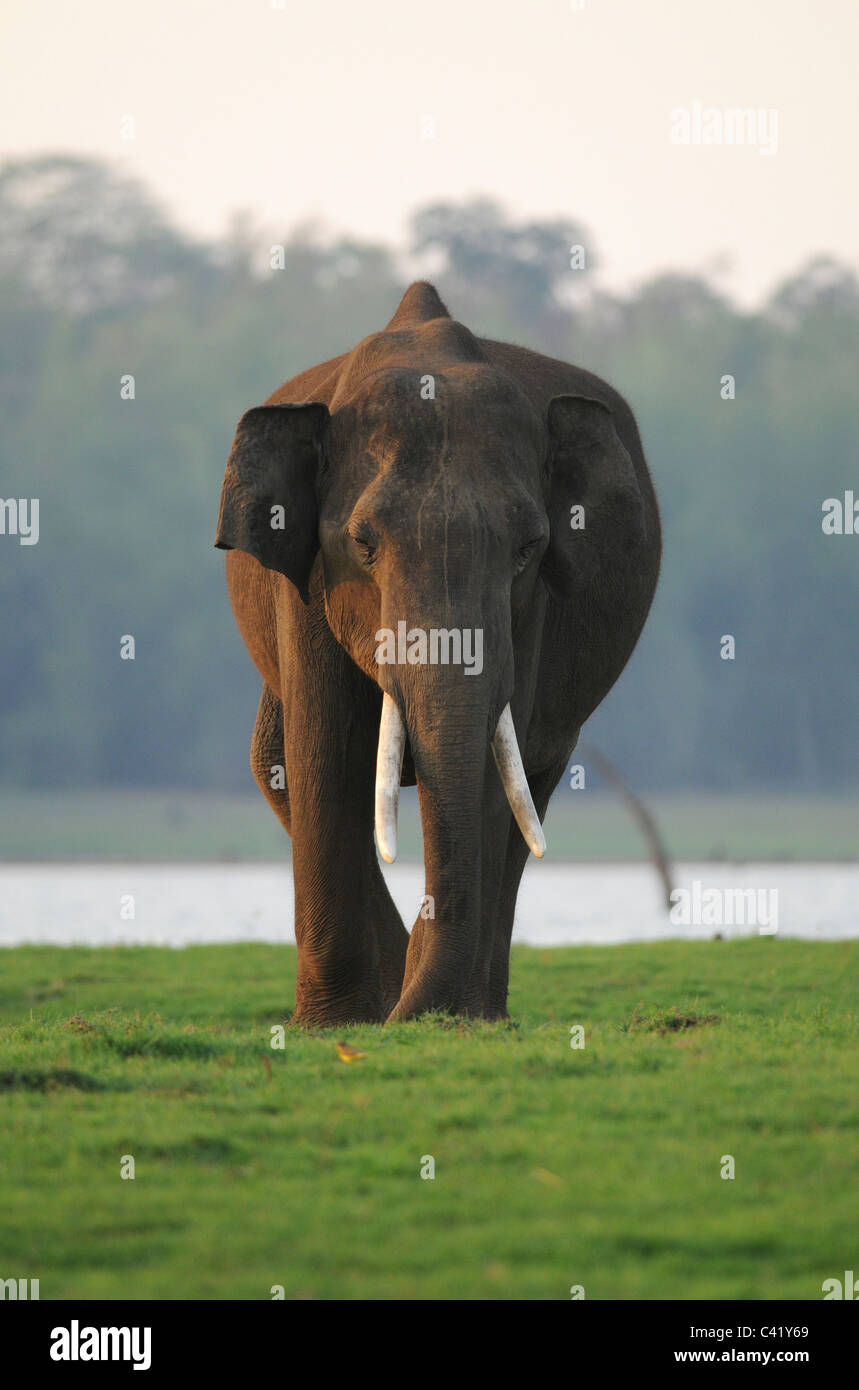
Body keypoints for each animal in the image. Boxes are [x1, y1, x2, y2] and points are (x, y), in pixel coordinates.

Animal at [216, 282, 658, 1028]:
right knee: (272, 761)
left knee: (532, 783)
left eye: (527, 548)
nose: (414, 1018)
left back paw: (470, 1007)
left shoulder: (531, 610)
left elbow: (492, 764)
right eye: (363, 543)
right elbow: (323, 755)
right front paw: (332, 1025)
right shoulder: (303, 582)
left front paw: (438, 1014)